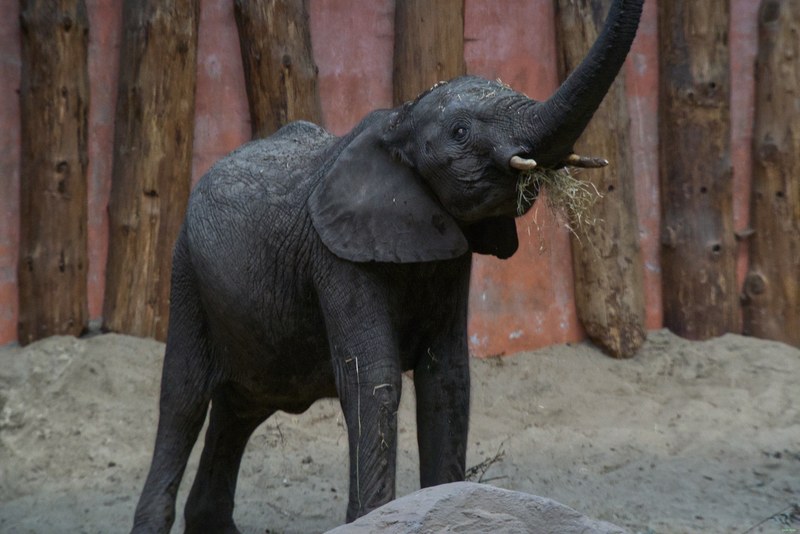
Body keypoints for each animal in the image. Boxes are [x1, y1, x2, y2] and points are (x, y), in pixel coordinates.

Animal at [131, 0, 643, 531]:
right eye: (460, 133)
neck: (401, 117)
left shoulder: (450, 259)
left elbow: (448, 381)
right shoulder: (335, 256)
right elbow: (372, 381)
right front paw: (374, 518)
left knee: (240, 405)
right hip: (185, 272)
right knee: (184, 398)